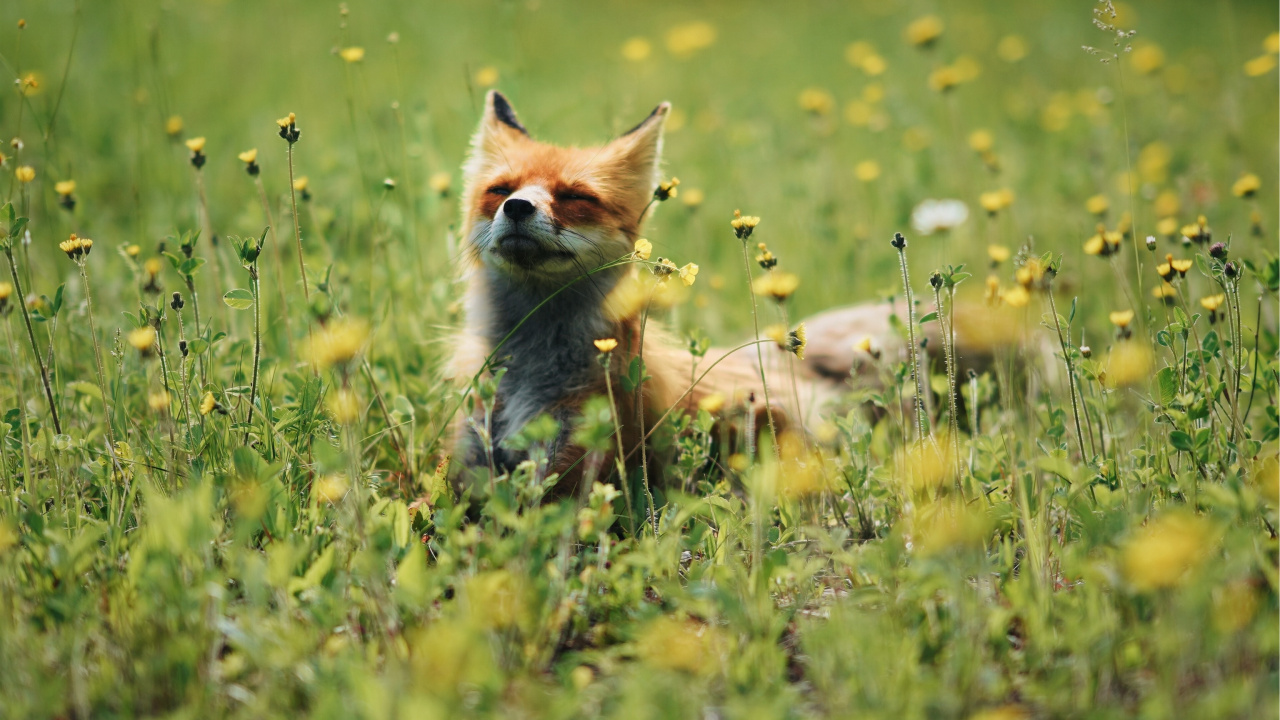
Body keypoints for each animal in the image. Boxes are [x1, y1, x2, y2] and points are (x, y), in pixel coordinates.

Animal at [449, 91, 959, 492]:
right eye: (500, 190)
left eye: (575, 197)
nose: (517, 208)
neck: (531, 374)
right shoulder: (471, 451)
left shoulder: (582, 455)